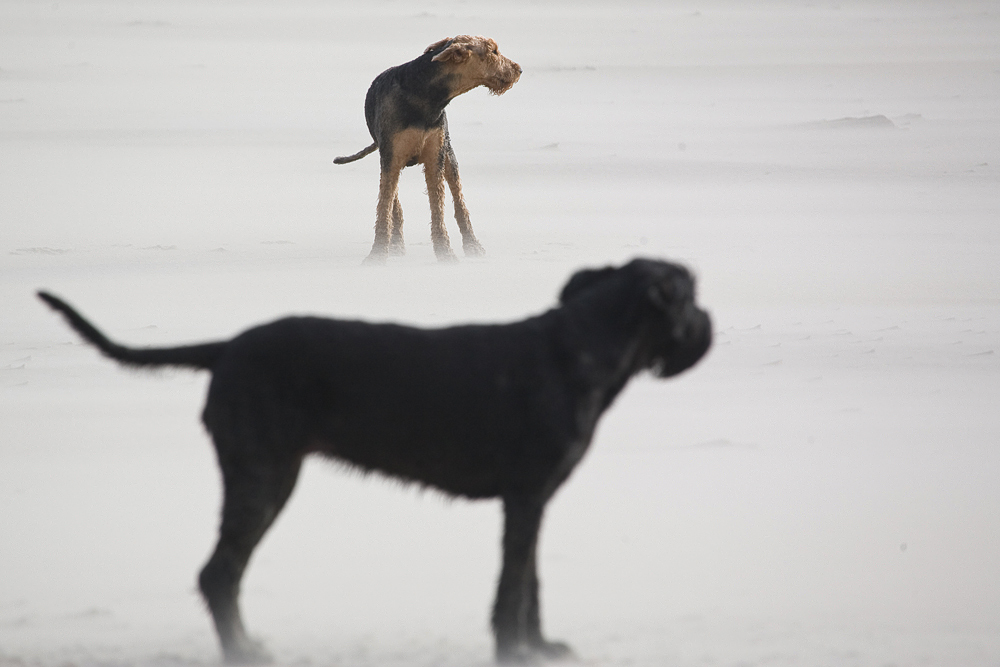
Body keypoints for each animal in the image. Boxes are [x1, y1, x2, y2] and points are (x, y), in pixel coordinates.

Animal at [37, 258, 712, 664]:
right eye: (692, 296)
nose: (708, 324)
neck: (581, 350)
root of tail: (226, 348)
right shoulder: (524, 499)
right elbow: (509, 590)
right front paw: (512, 653)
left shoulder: (534, 500)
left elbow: (530, 583)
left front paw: (541, 647)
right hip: (262, 477)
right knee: (218, 573)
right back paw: (242, 652)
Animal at [338, 35, 524, 262]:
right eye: (494, 51)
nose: (519, 69)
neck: (424, 94)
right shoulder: (391, 158)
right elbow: (385, 208)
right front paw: (378, 254)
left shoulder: (435, 157)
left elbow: (438, 210)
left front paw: (445, 252)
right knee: (395, 205)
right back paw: (397, 244)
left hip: (449, 156)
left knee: (460, 204)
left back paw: (472, 245)